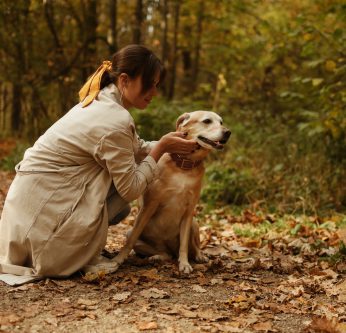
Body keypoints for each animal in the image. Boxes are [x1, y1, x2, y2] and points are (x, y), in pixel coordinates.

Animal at [111, 111, 230, 272]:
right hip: (138, 235)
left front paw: (184, 264)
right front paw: (118, 259)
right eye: (207, 121)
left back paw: (199, 256)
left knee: (192, 248)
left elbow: (184, 245)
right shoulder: (149, 206)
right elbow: (131, 240)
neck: (184, 167)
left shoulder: (189, 212)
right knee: (164, 253)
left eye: (221, 122)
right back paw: (157, 257)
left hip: (194, 223)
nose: (228, 132)